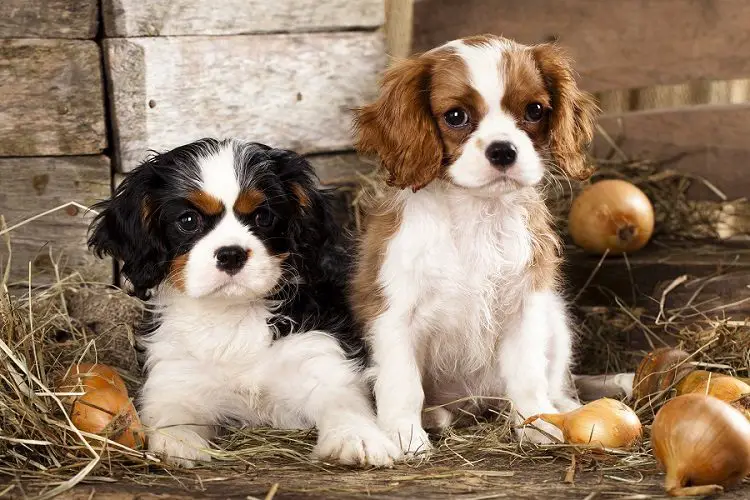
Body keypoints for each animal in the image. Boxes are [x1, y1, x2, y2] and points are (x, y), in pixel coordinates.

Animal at [88, 139, 400, 466]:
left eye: (263, 217)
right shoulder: (175, 376)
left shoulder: (320, 357)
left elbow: (343, 402)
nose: (231, 254)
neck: (232, 314)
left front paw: (356, 437)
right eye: (188, 221)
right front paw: (179, 442)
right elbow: (172, 412)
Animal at [352, 36, 600, 458]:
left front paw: (537, 423)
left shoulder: (526, 308)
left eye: (534, 110)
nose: (503, 150)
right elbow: (402, 384)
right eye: (455, 116)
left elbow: (528, 375)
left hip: (557, 321)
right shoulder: (394, 315)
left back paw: (562, 407)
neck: (476, 213)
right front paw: (404, 435)